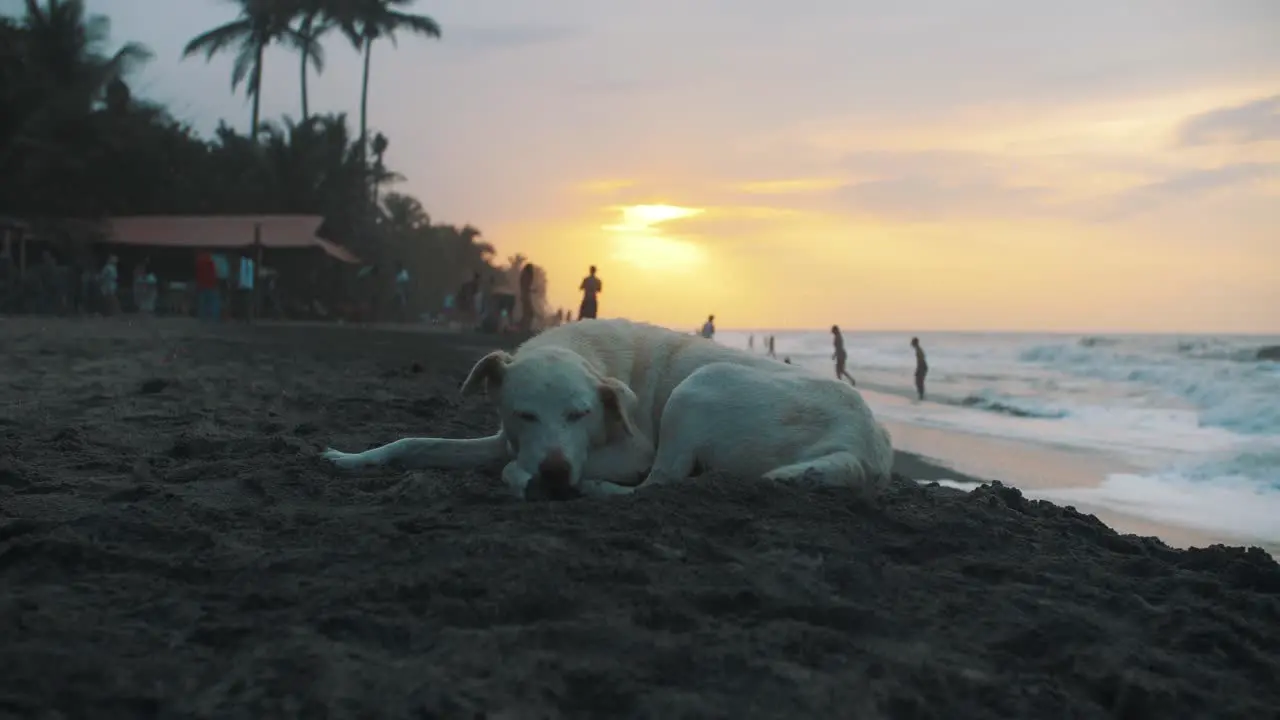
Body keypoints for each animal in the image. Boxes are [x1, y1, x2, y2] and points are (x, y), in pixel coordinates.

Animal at [325, 319, 896, 499]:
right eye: (525, 415)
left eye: (581, 414)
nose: (556, 476)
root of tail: (867, 445)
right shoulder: (504, 439)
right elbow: (414, 441)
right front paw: (353, 459)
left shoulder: (633, 451)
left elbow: (515, 468)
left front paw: (531, 481)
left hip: (697, 387)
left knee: (659, 485)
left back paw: (597, 490)